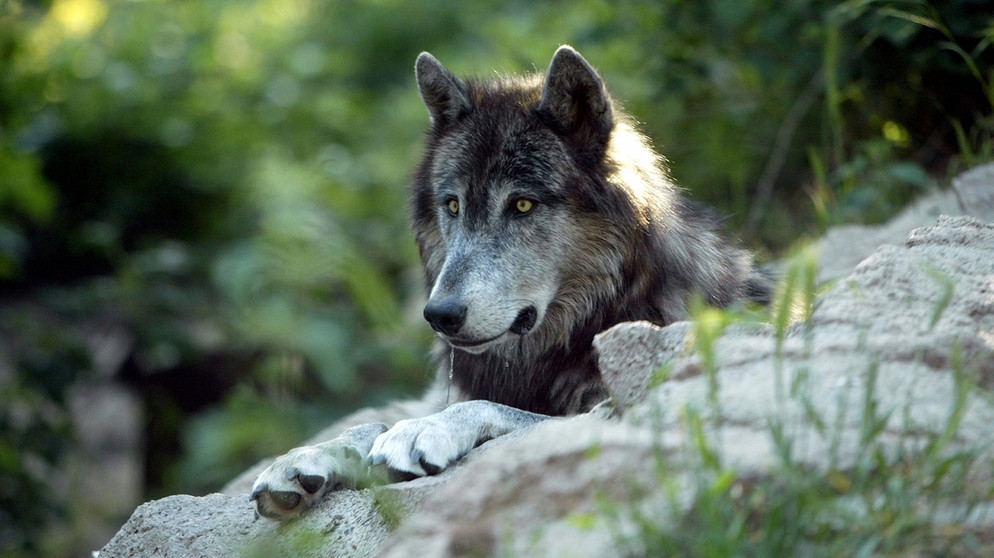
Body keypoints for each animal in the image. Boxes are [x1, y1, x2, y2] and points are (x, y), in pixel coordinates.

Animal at [246, 46, 768, 524]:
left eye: (521, 205)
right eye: (453, 205)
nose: (440, 315)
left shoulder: (610, 408)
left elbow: (490, 409)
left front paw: (422, 430)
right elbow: (373, 419)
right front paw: (305, 457)